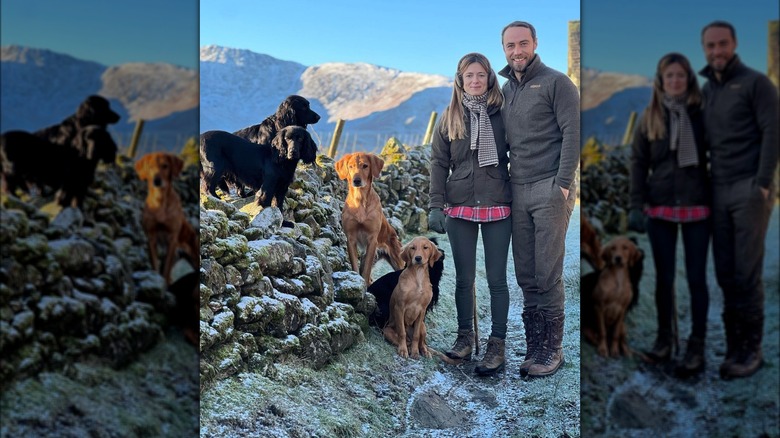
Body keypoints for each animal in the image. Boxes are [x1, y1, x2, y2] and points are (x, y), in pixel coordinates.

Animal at [134, 152, 197, 286]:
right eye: (150, 167)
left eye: (165, 166)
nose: (157, 181)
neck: (160, 201)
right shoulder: (151, 237)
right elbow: (155, 265)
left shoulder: (172, 239)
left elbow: (166, 269)